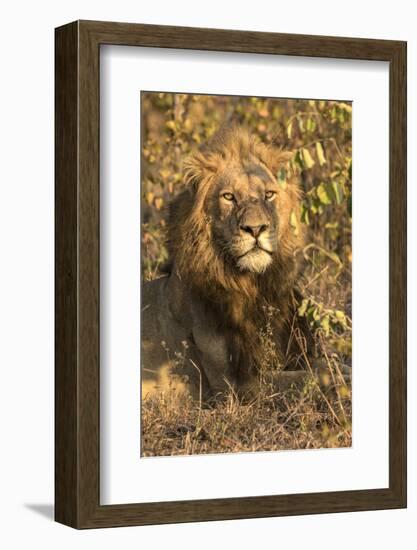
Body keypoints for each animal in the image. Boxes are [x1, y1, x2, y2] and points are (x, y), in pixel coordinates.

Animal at [141, 124, 320, 402]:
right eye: (228, 197)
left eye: (269, 195)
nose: (255, 229)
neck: (253, 286)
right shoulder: (234, 386)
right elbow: (309, 379)